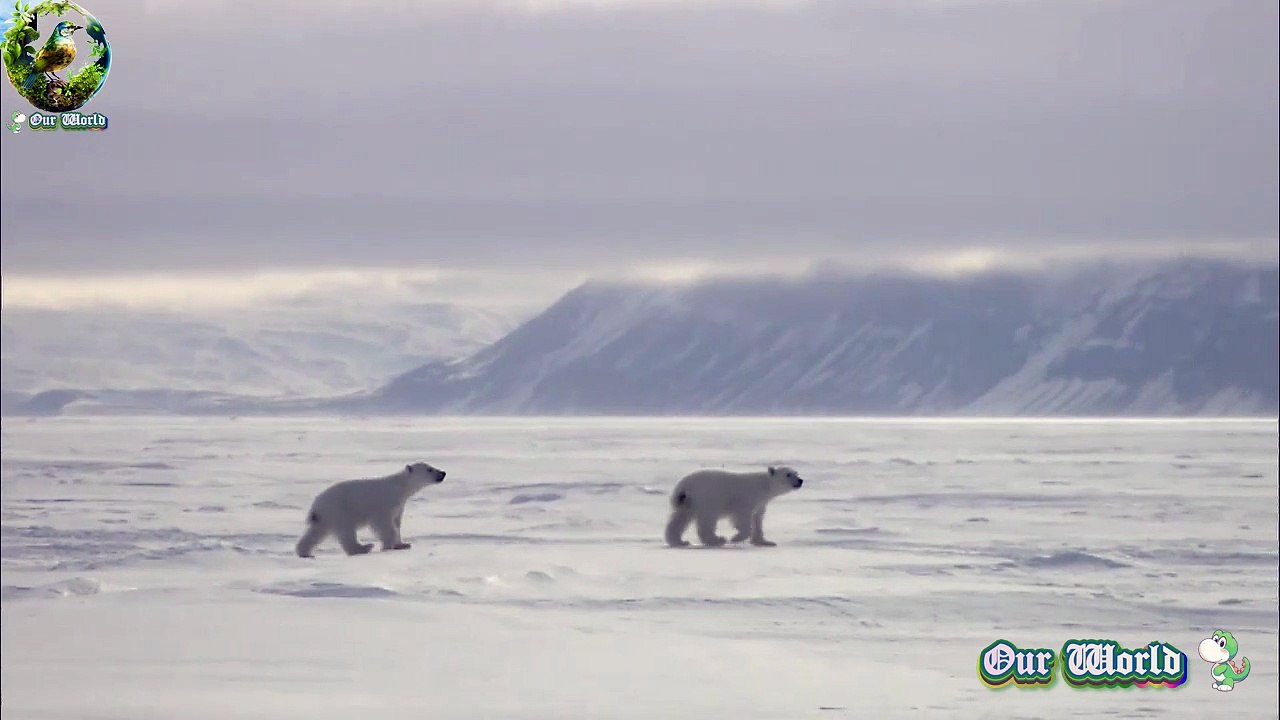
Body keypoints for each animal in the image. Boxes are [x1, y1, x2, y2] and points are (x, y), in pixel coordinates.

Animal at [295, 462, 446, 558]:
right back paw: (364, 548)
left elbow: (396, 523)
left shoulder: (399, 506)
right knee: (346, 532)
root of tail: (315, 506)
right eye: (429, 469)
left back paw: (305, 553)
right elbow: (384, 524)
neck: (399, 487)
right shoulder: (384, 504)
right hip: (340, 510)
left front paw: (403, 544)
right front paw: (388, 545)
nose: (443, 473)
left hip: (326, 516)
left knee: (316, 532)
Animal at [664, 465, 804, 548]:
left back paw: (679, 542)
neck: (763, 486)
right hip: (707, 498)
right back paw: (717, 540)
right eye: (788, 474)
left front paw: (765, 542)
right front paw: (735, 538)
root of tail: (682, 487)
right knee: (706, 521)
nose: (800, 480)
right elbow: (742, 518)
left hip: (686, 503)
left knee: (679, 520)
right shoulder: (746, 499)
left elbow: (758, 519)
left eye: (796, 472)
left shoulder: (760, 504)